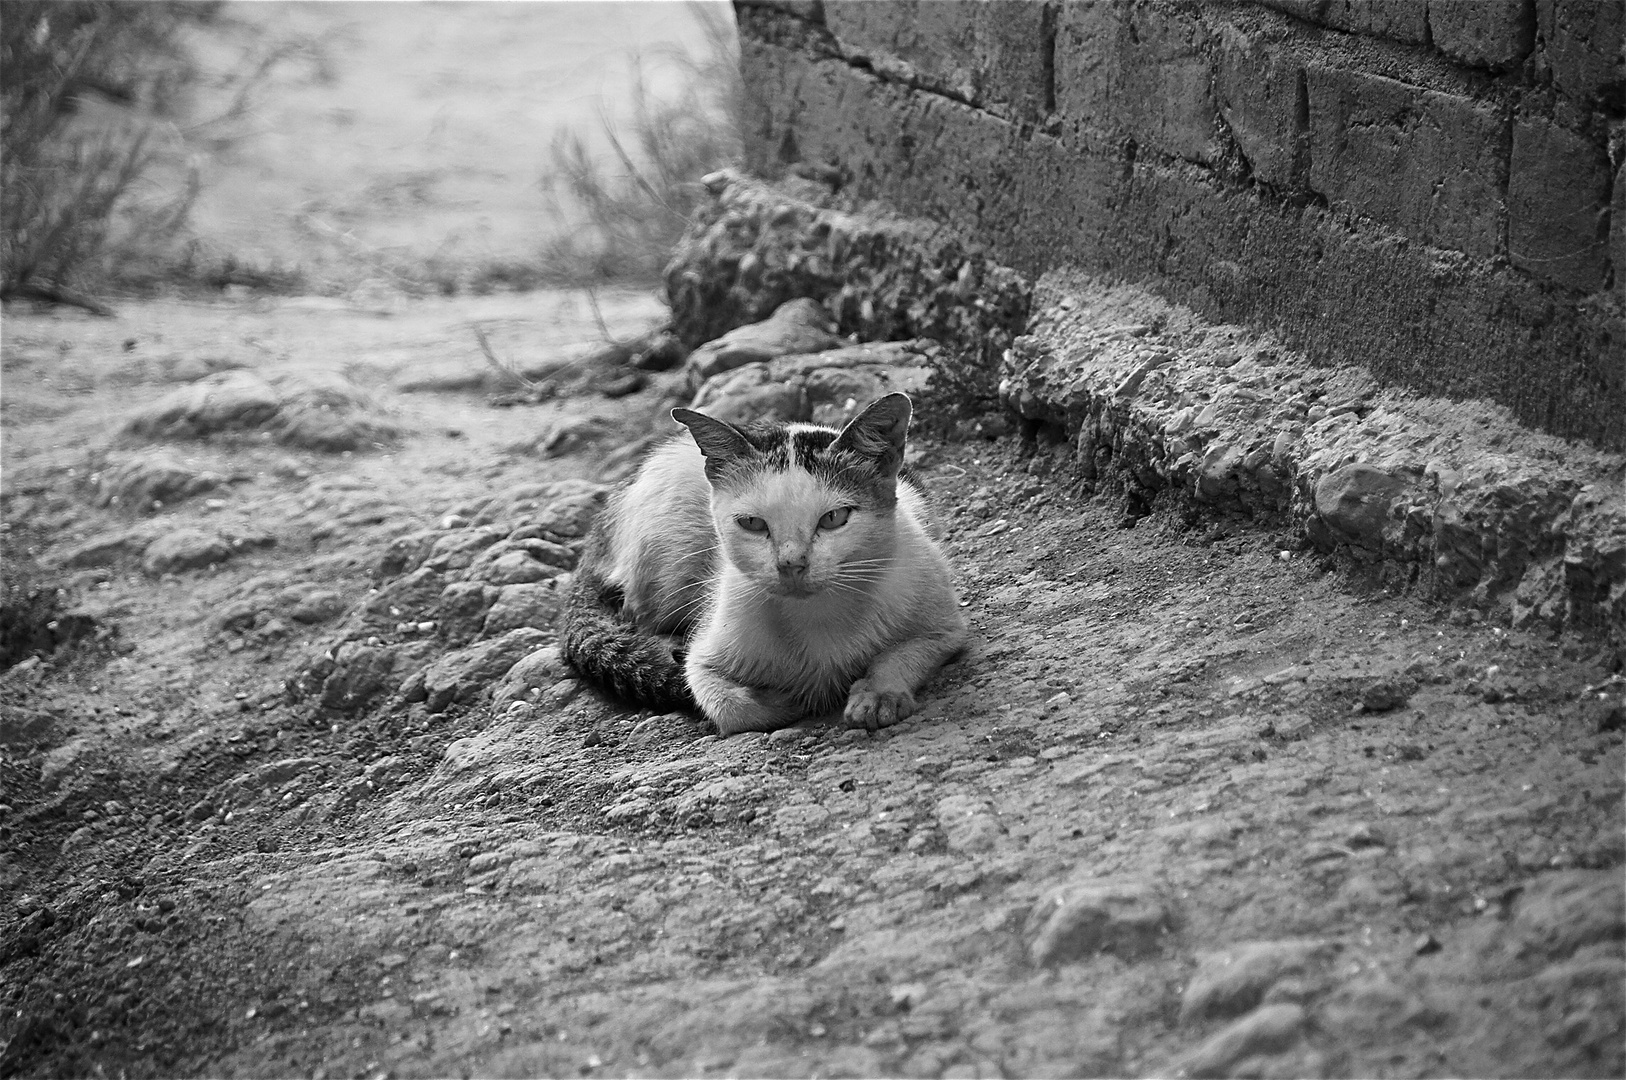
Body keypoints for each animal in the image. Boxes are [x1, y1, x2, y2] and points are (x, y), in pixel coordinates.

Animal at [562, 391, 962, 738]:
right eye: (753, 523)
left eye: (834, 518)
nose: (791, 564)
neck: (816, 617)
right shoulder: (703, 657)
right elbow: (728, 705)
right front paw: (784, 700)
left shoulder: (946, 627)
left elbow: (904, 653)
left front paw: (878, 694)